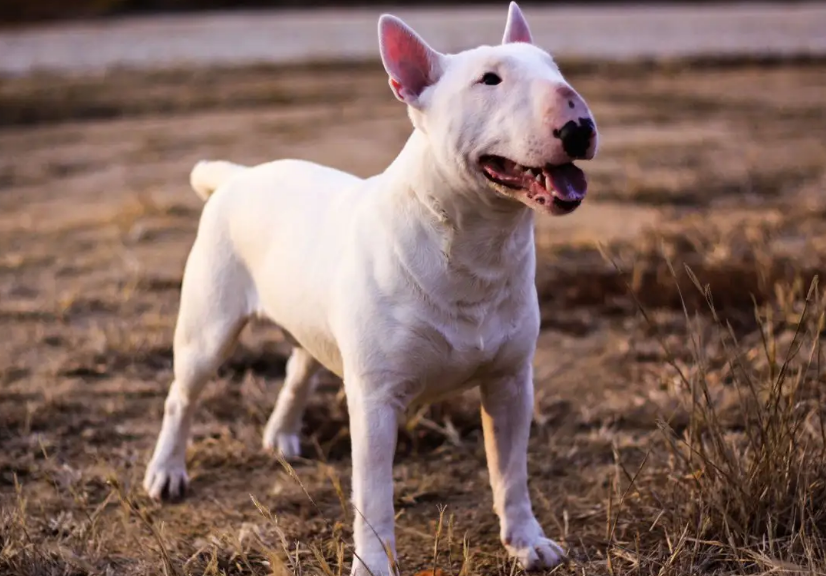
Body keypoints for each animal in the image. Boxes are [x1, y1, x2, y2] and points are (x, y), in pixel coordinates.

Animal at [142, 2, 592, 572]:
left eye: (555, 68)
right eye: (489, 79)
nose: (581, 125)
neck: (474, 245)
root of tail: (236, 177)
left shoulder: (511, 382)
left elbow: (511, 473)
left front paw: (528, 542)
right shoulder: (376, 399)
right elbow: (374, 495)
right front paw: (373, 565)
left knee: (299, 365)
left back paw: (282, 434)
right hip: (208, 327)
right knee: (182, 396)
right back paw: (166, 472)